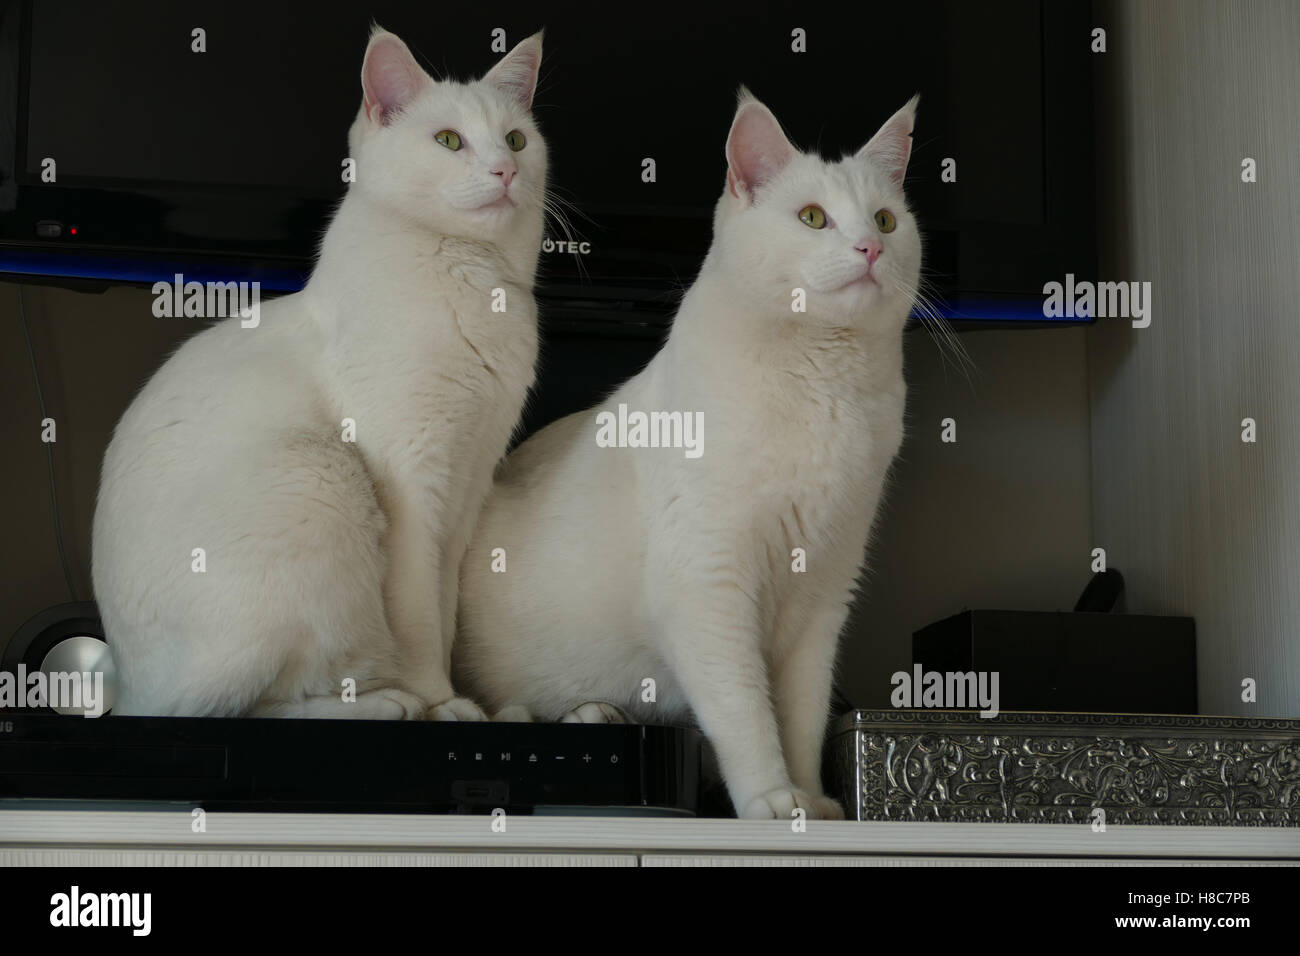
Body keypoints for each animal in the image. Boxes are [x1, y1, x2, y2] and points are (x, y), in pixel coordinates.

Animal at [91, 27, 546, 717]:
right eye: (449, 141)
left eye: (517, 141)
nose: (506, 170)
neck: (475, 279)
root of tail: (128, 689)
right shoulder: (414, 484)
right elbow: (419, 617)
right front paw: (441, 703)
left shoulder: (466, 486)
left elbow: (443, 609)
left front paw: (451, 696)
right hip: (323, 475)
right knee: (243, 706)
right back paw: (389, 703)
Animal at [462, 91, 920, 822]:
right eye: (812, 218)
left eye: (885, 219)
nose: (871, 247)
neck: (827, 390)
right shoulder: (708, 584)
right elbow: (745, 711)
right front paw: (770, 797)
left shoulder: (822, 598)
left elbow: (802, 714)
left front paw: (814, 802)